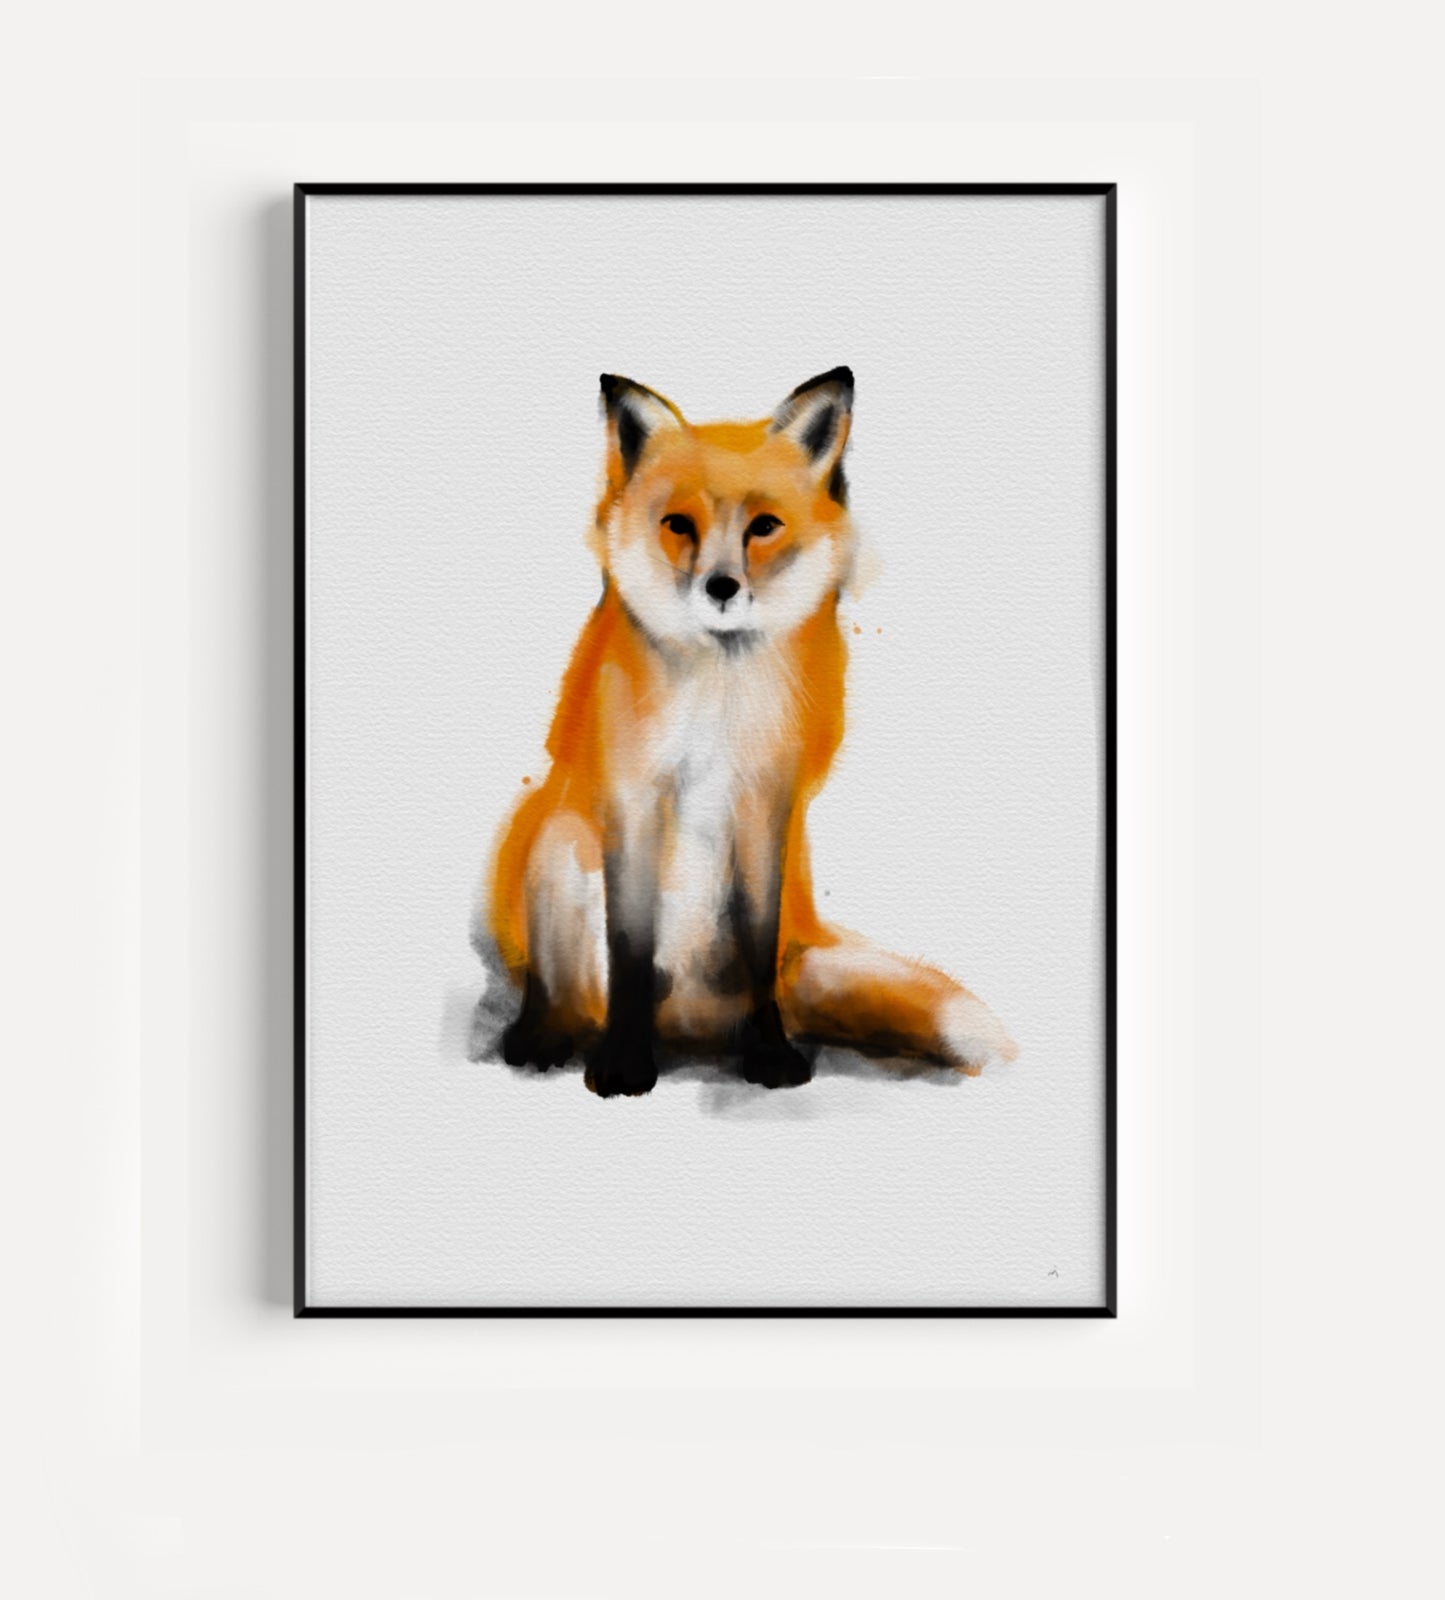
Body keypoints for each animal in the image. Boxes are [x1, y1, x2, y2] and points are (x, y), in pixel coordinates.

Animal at [487, 367, 1017, 1097]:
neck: (719, 700)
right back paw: (545, 1036)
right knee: (567, 990)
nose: (720, 587)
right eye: (678, 524)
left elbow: (757, 944)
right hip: (559, 844)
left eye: (763, 527)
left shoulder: (765, 803)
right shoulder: (634, 799)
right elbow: (630, 947)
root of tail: (686, 1022)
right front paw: (623, 1064)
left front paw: (769, 1056)